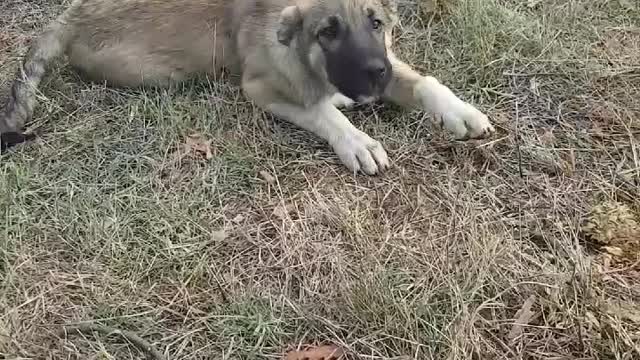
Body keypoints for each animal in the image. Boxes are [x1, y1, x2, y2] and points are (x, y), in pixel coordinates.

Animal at [0, 0, 496, 174]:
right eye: (328, 32)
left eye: (377, 24)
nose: (375, 75)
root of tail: (70, 15)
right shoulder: (260, 88)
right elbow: (321, 109)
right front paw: (356, 141)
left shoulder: (391, 62)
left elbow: (425, 80)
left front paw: (458, 111)